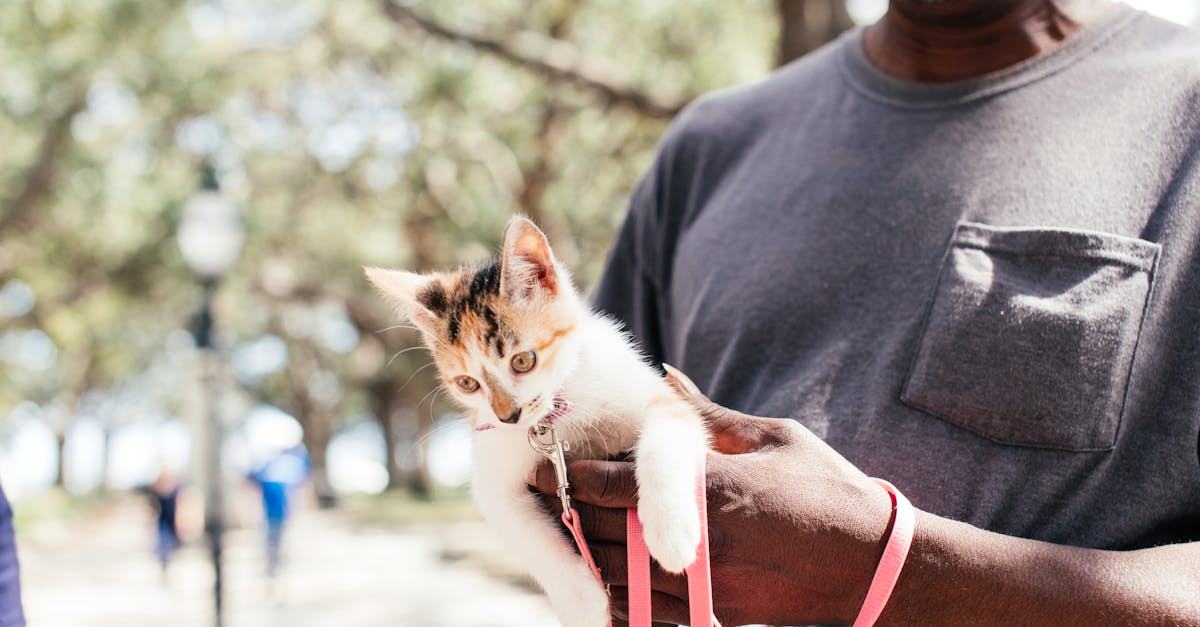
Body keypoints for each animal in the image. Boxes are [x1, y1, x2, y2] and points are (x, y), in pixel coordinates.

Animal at [364, 216, 710, 624]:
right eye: (468, 384)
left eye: (523, 361)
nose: (508, 416)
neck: (556, 418)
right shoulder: (494, 480)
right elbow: (526, 537)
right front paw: (583, 603)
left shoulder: (669, 402)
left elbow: (664, 442)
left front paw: (671, 532)